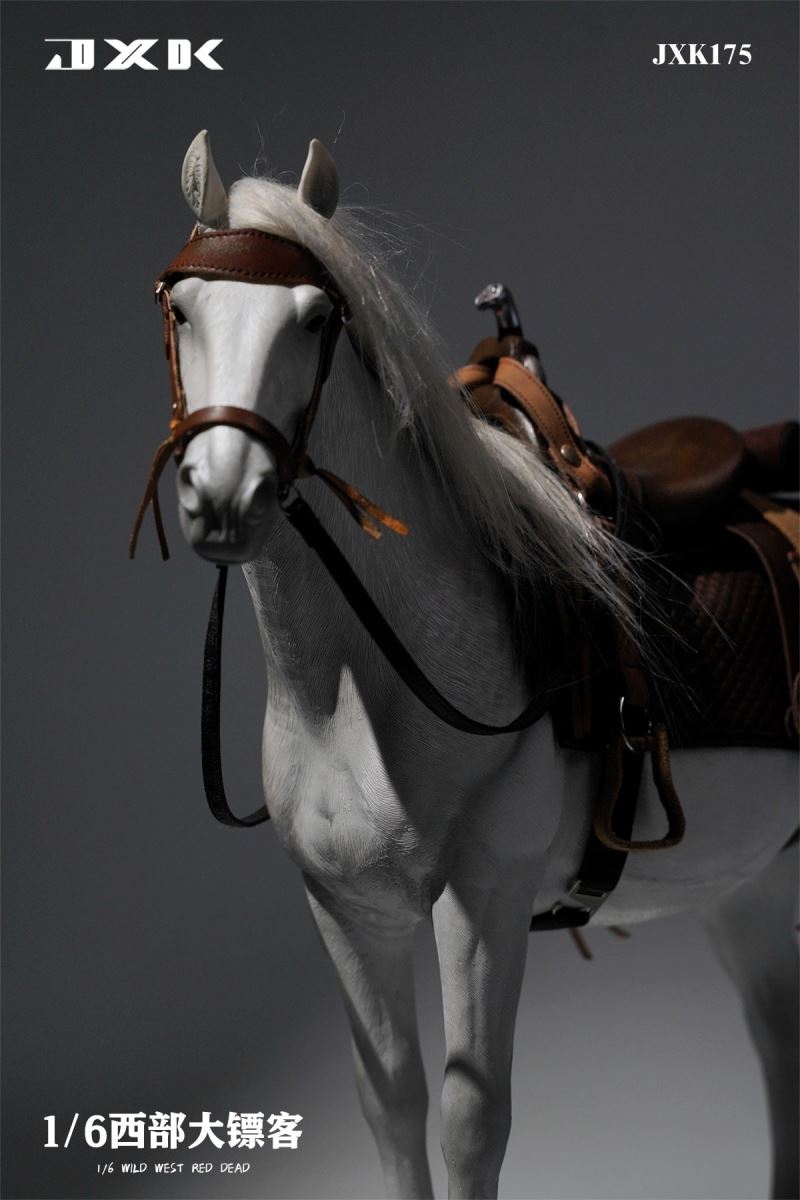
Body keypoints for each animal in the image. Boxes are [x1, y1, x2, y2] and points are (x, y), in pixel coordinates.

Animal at [133, 131, 798, 1200]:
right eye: (182, 307)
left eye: (316, 319)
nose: (223, 495)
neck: (360, 695)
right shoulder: (346, 910)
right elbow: (392, 1104)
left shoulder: (482, 902)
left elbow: (469, 1120)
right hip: (754, 889)